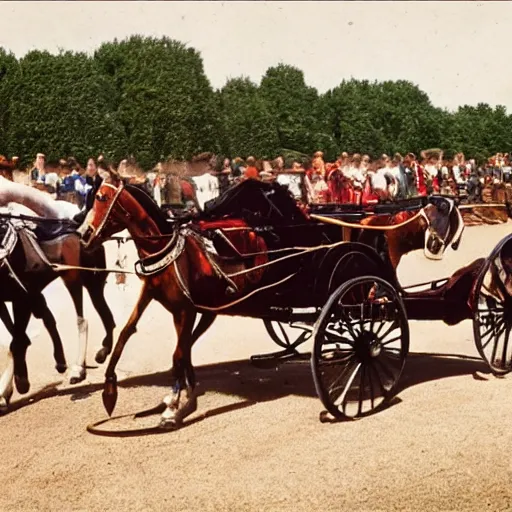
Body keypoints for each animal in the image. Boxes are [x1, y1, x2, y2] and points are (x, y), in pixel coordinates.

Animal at [81, 174, 468, 426]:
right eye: (90, 199)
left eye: (101, 199)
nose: (83, 234)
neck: (172, 247)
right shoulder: (159, 297)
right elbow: (127, 334)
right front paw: (110, 386)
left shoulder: (185, 308)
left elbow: (177, 353)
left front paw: (173, 406)